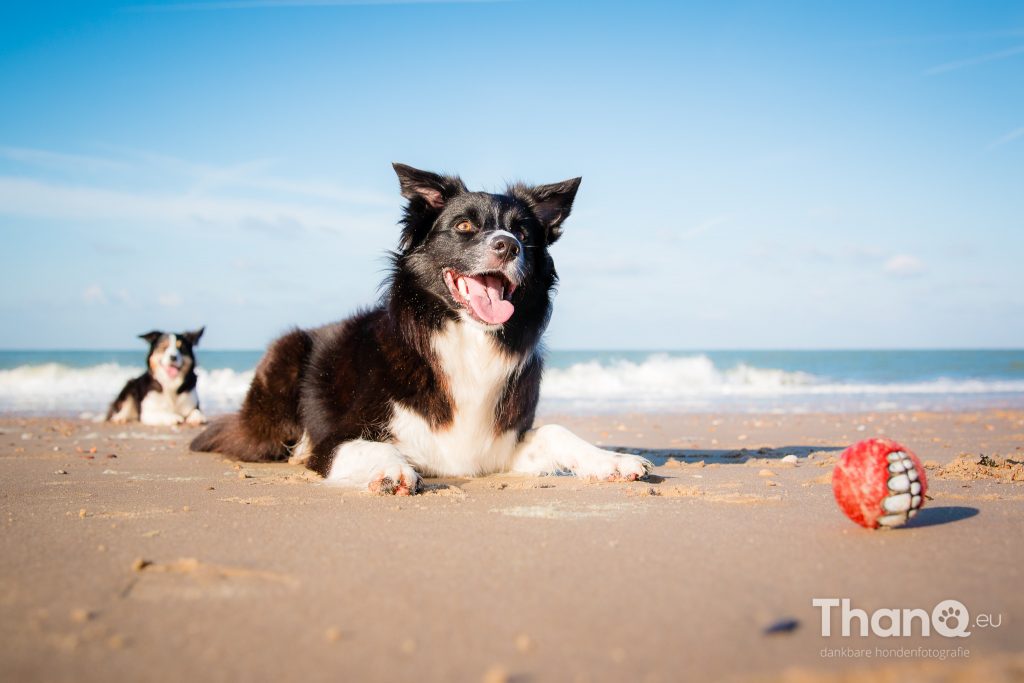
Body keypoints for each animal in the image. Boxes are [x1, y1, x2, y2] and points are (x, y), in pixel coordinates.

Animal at [189, 167, 651, 493]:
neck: (468, 341)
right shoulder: (337, 438)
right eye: (464, 227)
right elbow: (372, 444)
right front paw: (391, 469)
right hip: (282, 370)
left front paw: (613, 460)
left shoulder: (496, 445)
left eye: (522, 231)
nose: (509, 245)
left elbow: (556, 432)